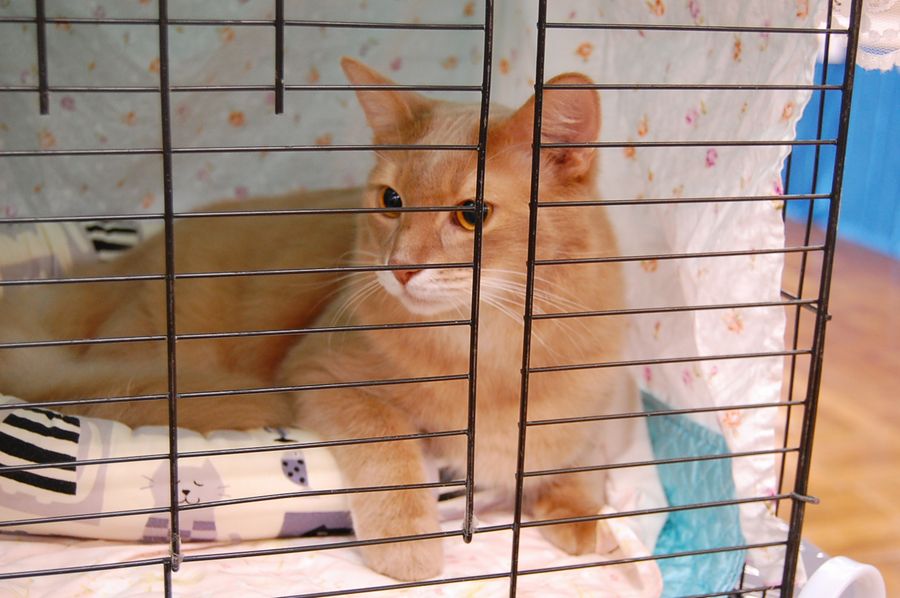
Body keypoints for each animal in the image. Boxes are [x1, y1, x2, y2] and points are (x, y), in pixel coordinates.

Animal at [0, 58, 631, 581]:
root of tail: (119, 267)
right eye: (391, 201)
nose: (399, 269)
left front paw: (582, 516)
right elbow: (388, 438)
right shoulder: (321, 369)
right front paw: (409, 544)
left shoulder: (607, 395)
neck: (489, 352)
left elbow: (584, 452)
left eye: (472, 213)